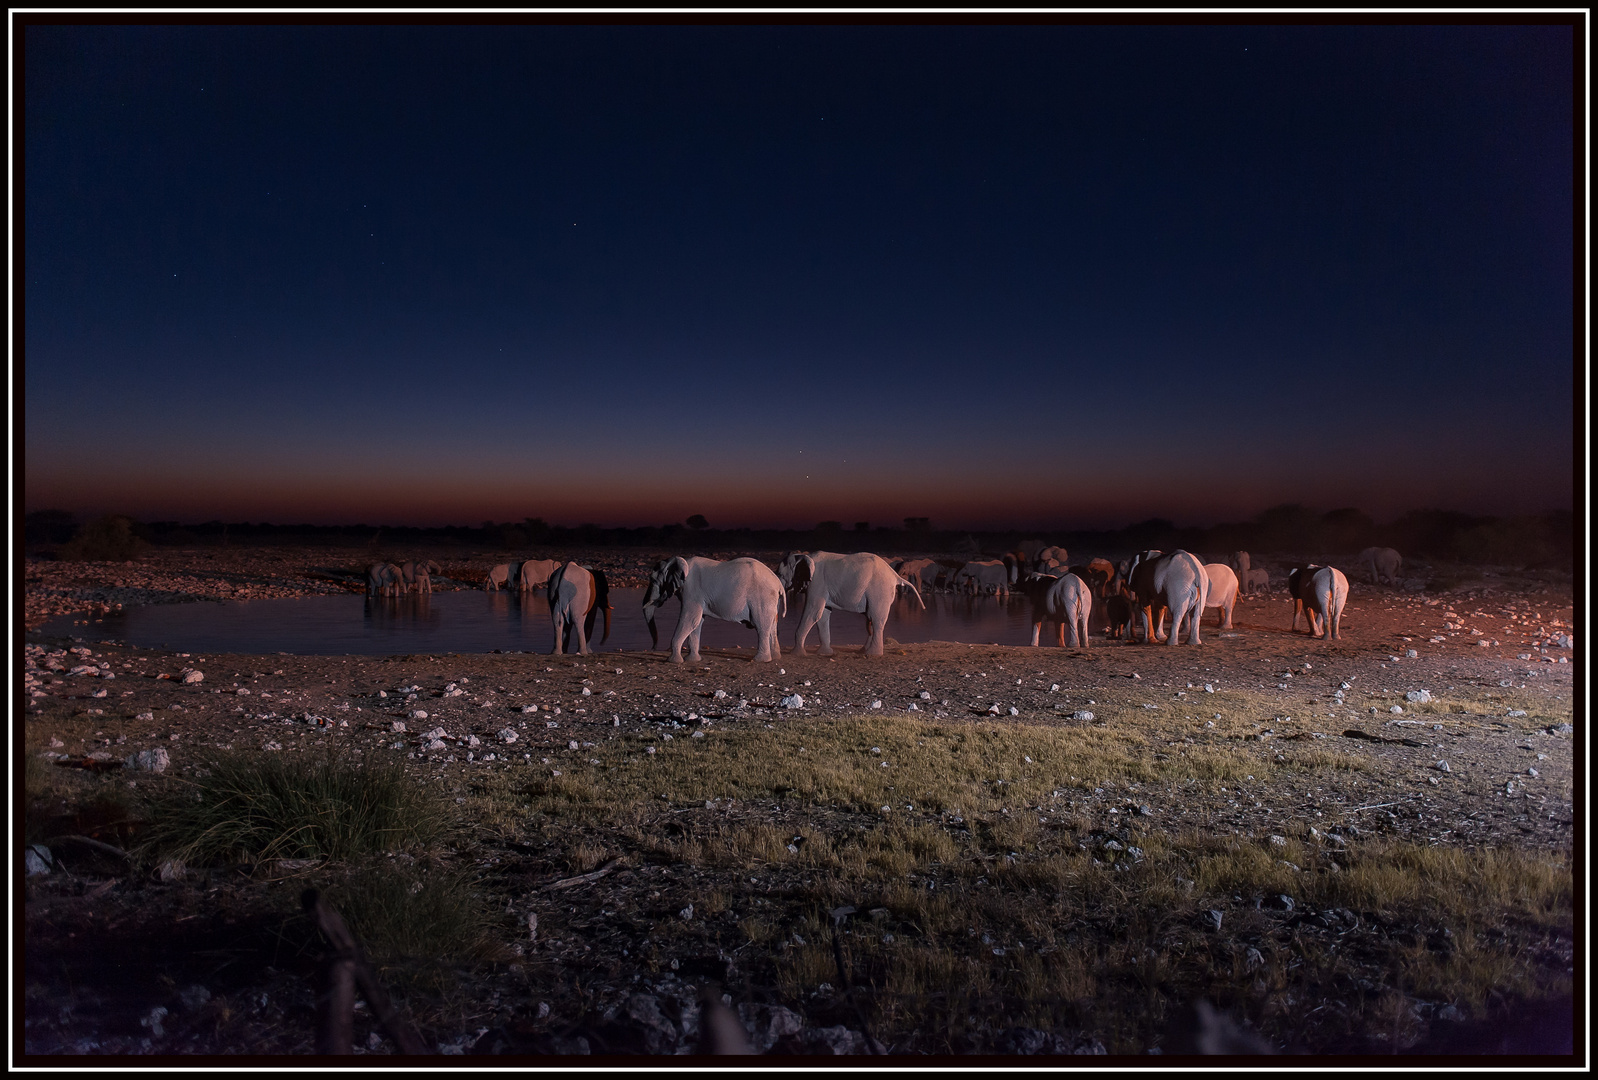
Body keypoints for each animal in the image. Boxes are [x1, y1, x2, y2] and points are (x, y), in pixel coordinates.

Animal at [636, 562, 786, 661]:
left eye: (652, 579)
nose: (653, 648)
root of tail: (778, 583)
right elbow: (696, 623)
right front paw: (693, 660)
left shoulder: (691, 591)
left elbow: (690, 619)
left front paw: (674, 661)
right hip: (770, 599)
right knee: (772, 625)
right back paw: (775, 657)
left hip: (762, 597)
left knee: (761, 626)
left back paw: (759, 660)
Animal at [776, 549, 926, 658]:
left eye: (782, 575)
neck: (803, 556)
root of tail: (895, 575)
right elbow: (823, 614)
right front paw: (825, 653)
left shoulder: (817, 582)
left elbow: (813, 612)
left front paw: (796, 654)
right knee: (871, 618)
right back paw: (862, 651)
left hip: (879, 590)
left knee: (876, 619)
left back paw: (872, 654)